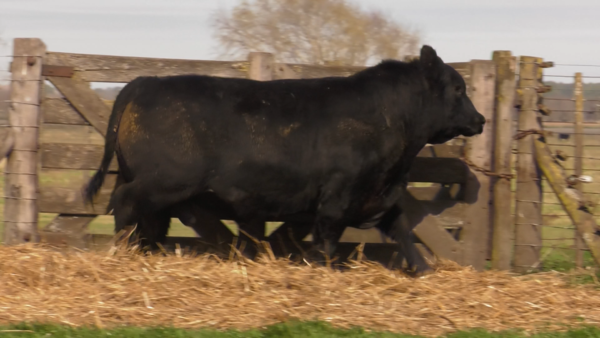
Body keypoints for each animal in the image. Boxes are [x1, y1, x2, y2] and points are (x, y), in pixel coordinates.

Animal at [82, 45, 486, 274]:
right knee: (125, 203)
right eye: (458, 88)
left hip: (159, 188)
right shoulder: (338, 196)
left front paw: (423, 270)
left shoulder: (378, 196)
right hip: (166, 181)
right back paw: (124, 249)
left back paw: (147, 252)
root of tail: (146, 80)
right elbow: (327, 239)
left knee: (150, 219)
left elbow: (402, 229)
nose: (480, 119)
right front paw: (327, 270)